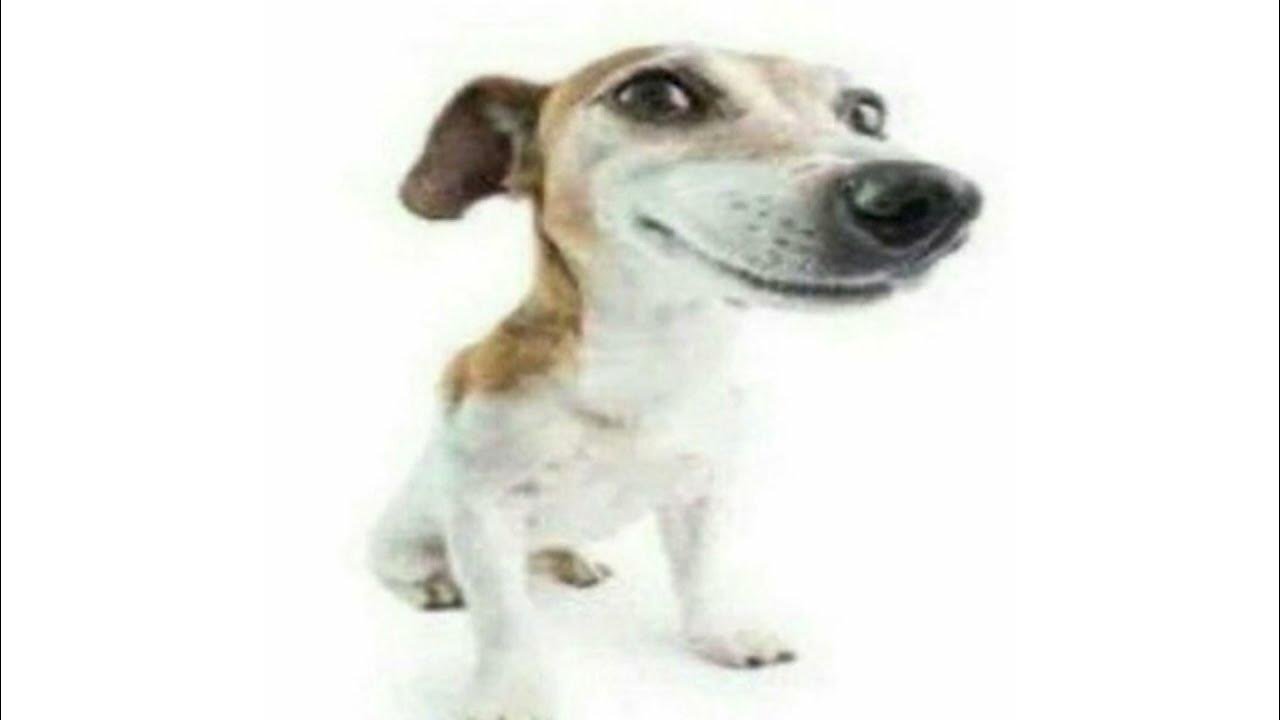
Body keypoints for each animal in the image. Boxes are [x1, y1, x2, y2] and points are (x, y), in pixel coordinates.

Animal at [371, 45, 982, 719]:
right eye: (655, 94)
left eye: (868, 112)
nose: (934, 196)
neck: (649, 363)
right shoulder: (484, 511)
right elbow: (506, 621)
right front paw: (512, 695)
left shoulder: (701, 493)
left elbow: (700, 577)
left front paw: (721, 635)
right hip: (404, 538)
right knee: (411, 571)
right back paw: (433, 586)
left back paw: (573, 560)